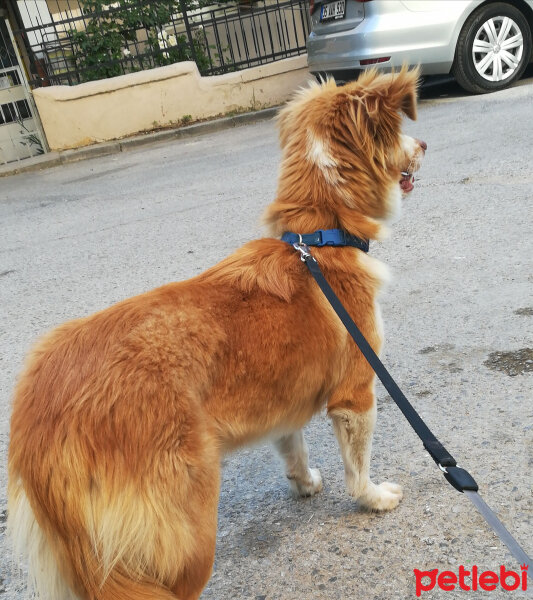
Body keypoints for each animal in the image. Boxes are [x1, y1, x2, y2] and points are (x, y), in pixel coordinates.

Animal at [8, 68, 424, 600]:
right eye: (399, 132)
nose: (425, 145)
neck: (318, 238)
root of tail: (40, 424)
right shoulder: (356, 393)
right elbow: (358, 465)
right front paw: (372, 498)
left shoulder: (282, 398)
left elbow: (292, 445)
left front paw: (304, 482)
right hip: (184, 535)